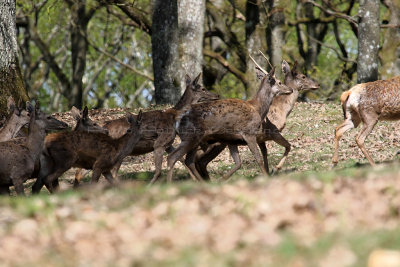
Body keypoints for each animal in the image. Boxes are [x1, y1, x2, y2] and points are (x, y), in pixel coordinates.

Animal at [72, 73, 219, 186]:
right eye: (203, 88)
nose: (217, 95)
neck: (173, 117)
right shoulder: (160, 143)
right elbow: (162, 168)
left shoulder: (168, 144)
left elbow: (181, 159)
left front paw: (197, 180)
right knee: (107, 171)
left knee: (83, 172)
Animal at [164, 64, 292, 184]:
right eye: (279, 82)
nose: (290, 89)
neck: (258, 108)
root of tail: (178, 119)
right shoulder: (248, 133)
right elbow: (258, 158)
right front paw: (266, 176)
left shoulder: (232, 140)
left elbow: (238, 163)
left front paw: (222, 179)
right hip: (192, 137)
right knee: (173, 157)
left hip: (195, 140)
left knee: (189, 160)